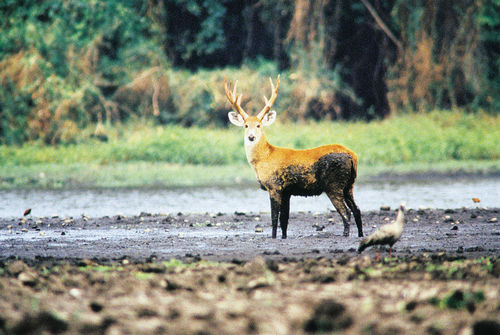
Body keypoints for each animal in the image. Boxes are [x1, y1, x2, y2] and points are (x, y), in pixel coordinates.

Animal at [225, 75, 362, 239]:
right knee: (357, 210)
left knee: (346, 212)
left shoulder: (274, 186)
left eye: (259, 125)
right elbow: (285, 219)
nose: (251, 137)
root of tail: (352, 156)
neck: (264, 158)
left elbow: (274, 218)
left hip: (334, 184)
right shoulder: (287, 191)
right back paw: (360, 234)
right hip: (349, 184)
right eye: (246, 125)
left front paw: (273, 237)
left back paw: (345, 234)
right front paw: (283, 237)